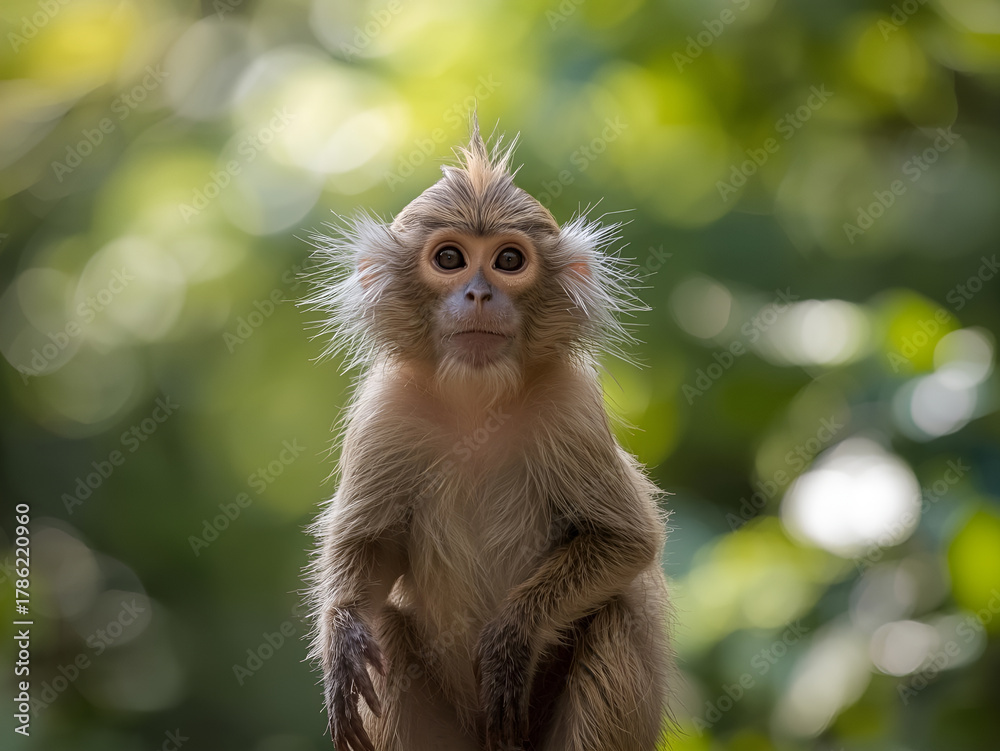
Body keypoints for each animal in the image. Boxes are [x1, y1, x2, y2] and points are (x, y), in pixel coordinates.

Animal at [303, 118, 673, 751]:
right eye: (450, 258)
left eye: (508, 260)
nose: (479, 293)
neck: (478, 407)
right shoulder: (386, 410)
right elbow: (370, 550)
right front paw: (342, 636)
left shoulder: (570, 406)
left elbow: (625, 541)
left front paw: (511, 639)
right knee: (387, 629)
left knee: (614, 617)